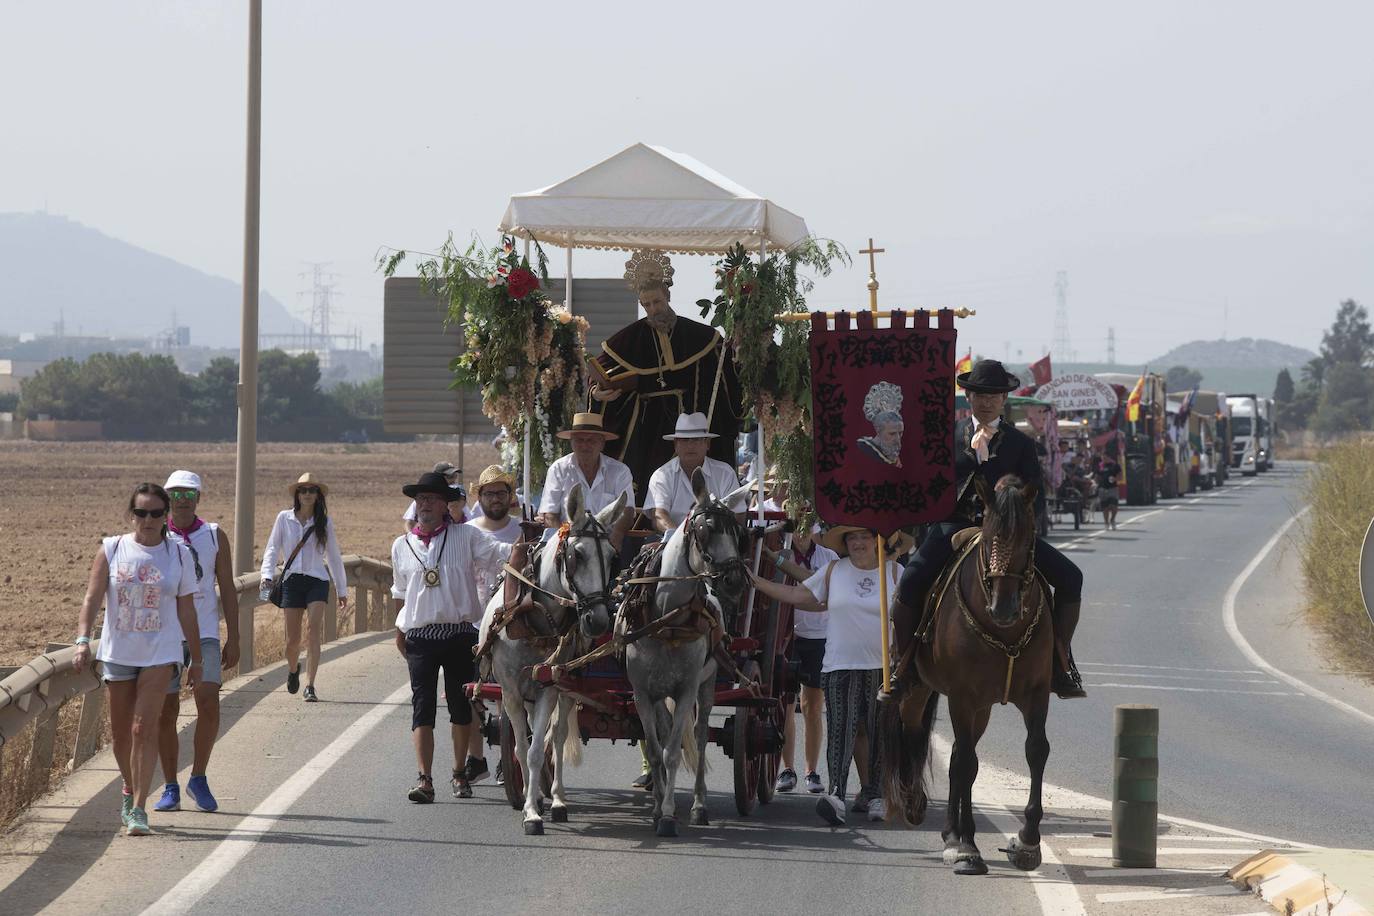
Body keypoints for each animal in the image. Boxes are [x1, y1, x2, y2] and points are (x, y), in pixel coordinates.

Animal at [475, 486, 621, 840]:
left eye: (613, 557)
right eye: (576, 555)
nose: (598, 620)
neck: (533, 618)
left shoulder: (548, 688)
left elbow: (537, 750)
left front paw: (536, 810)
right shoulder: (511, 693)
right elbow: (520, 749)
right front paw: (529, 806)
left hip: (565, 690)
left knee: (555, 737)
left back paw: (556, 799)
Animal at [626, 472, 752, 840]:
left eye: (739, 534)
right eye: (705, 530)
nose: (734, 580)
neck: (668, 619)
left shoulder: (686, 690)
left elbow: (671, 753)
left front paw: (668, 815)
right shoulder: (642, 692)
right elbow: (657, 750)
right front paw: (657, 808)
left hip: (707, 683)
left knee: (699, 734)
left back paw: (698, 806)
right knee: (667, 733)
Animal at [879, 477, 1049, 878]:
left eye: (1029, 537)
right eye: (989, 536)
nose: (1004, 607)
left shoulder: (1036, 694)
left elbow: (1035, 750)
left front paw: (1028, 841)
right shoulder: (962, 696)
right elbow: (968, 764)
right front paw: (969, 847)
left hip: (981, 708)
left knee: (957, 752)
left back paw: (949, 833)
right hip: (922, 688)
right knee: (919, 734)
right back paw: (916, 805)